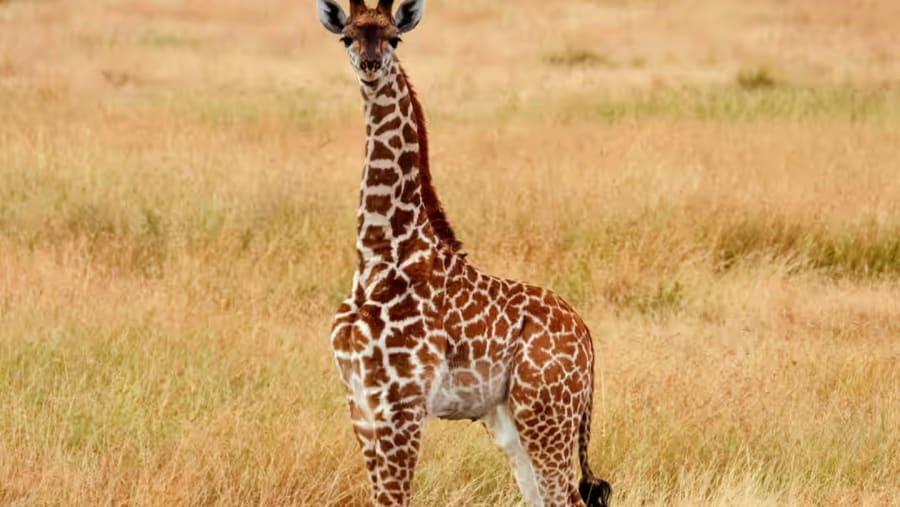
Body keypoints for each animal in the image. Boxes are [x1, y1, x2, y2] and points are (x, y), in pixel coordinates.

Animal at [317, 1, 612, 505]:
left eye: (394, 38)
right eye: (347, 37)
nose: (370, 66)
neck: (378, 256)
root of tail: (588, 339)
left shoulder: (403, 404)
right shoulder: (360, 402)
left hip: (548, 413)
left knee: (566, 496)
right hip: (511, 420)